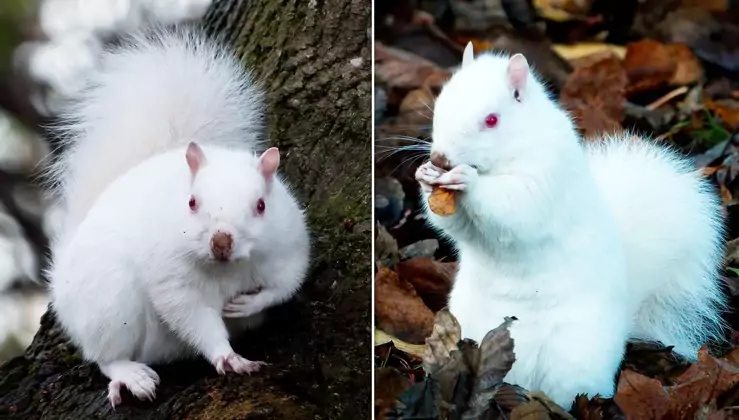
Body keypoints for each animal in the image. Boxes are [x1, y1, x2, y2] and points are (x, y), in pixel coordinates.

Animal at [44, 27, 310, 406]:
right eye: (192, 202)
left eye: (260, 205)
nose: (221, 241)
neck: (226, 270)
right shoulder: (175, 282)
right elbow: (195, 319)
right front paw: (228, 357)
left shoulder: (289, 248)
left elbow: (286, 285)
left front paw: (250, 304)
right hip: (108, 300)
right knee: (105, 356)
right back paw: (130, 375)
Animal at [416, 42, 728, 406]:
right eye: (441, 104)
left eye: (492, 120)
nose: (440, 159)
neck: (514, 149)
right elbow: (457, 226)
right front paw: (425, 176)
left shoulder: (546, 175)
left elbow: (516, 207)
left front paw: (467, 180)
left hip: (574, 353)